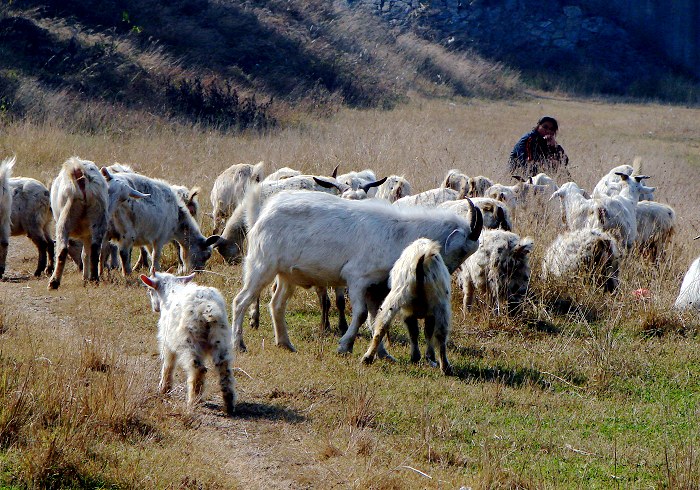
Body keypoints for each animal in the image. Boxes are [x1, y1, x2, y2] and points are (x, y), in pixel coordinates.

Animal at [141, 270, 237, 416]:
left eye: (150, 290)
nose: (155, 308)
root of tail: (207, 307)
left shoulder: (166, 340)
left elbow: (168, 364)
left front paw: (164, 389)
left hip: (190, 340)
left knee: (198, 369)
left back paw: (192, 401)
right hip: (221, 338)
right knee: (224, 369)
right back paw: (228, 405)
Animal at [230, 189, 482, 354]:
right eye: (462, 250)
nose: (446, 276)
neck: (399, 234)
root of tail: (262, 213)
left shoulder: (376, 287)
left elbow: (376, 316)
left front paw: (382, 354)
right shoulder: (358, 279)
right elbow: (360, 314)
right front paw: (345, 345)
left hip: (286, 275)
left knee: (277, 304)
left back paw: (285, 343)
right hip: (262, 266)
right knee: (241, 301)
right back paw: (239, 344)